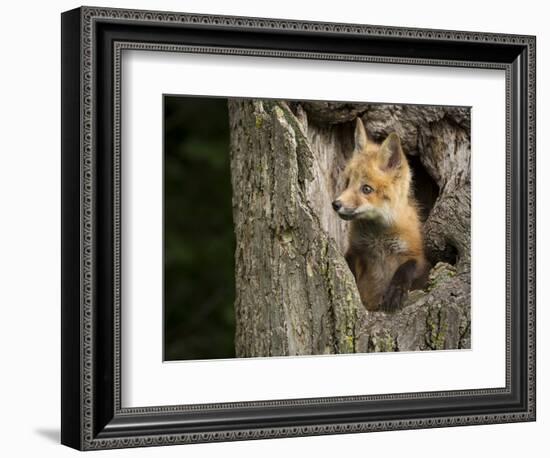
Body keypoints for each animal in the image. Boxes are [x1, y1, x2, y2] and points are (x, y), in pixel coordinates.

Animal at [332, 118, 432, 312]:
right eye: (347, 183)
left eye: (366, 189)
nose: (336, 204)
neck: (378, 240)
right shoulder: (356, 252)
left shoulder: (417, 256)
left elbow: (407, 268)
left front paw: (396, 291)